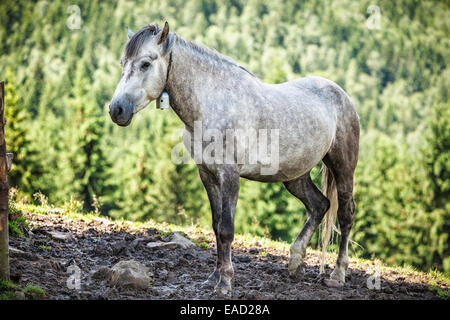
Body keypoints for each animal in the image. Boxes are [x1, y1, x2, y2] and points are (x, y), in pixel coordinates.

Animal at [109, 22, 358, 296]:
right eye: (123, 62)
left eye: (145, 64)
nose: (116, 110)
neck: (212, 105)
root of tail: (341, 95)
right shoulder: (207, 175)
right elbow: (216, 227)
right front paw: (213, 278)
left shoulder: (229, 175)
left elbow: (227, 229)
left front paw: (225, 283)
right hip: (295, 176)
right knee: (319, 205)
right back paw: (295, 262)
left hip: (343, 169)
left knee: (345, 214)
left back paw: (337, 274)